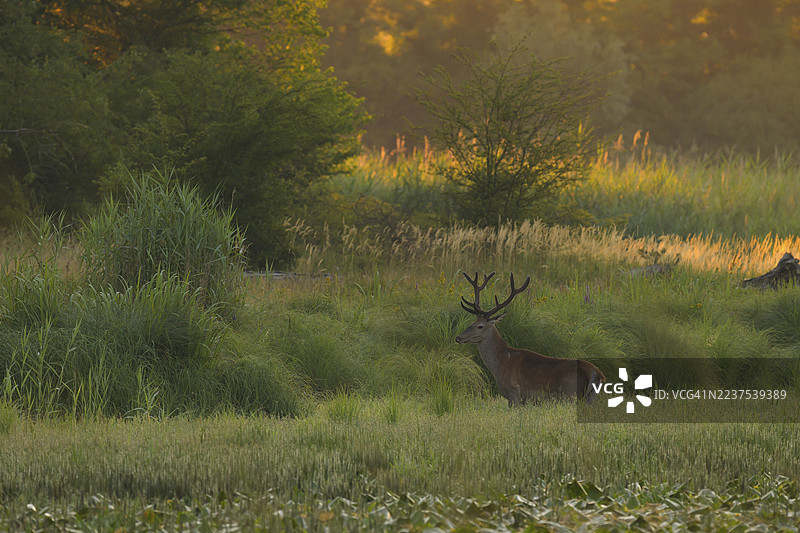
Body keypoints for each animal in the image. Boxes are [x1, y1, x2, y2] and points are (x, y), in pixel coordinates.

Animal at [455, 272, 605, 406]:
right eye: (471, 322)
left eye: (480, 326)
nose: (458, 337)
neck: (500, 362)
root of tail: (596, 373)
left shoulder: (513, 393)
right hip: (590, 398)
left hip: (570, 395)